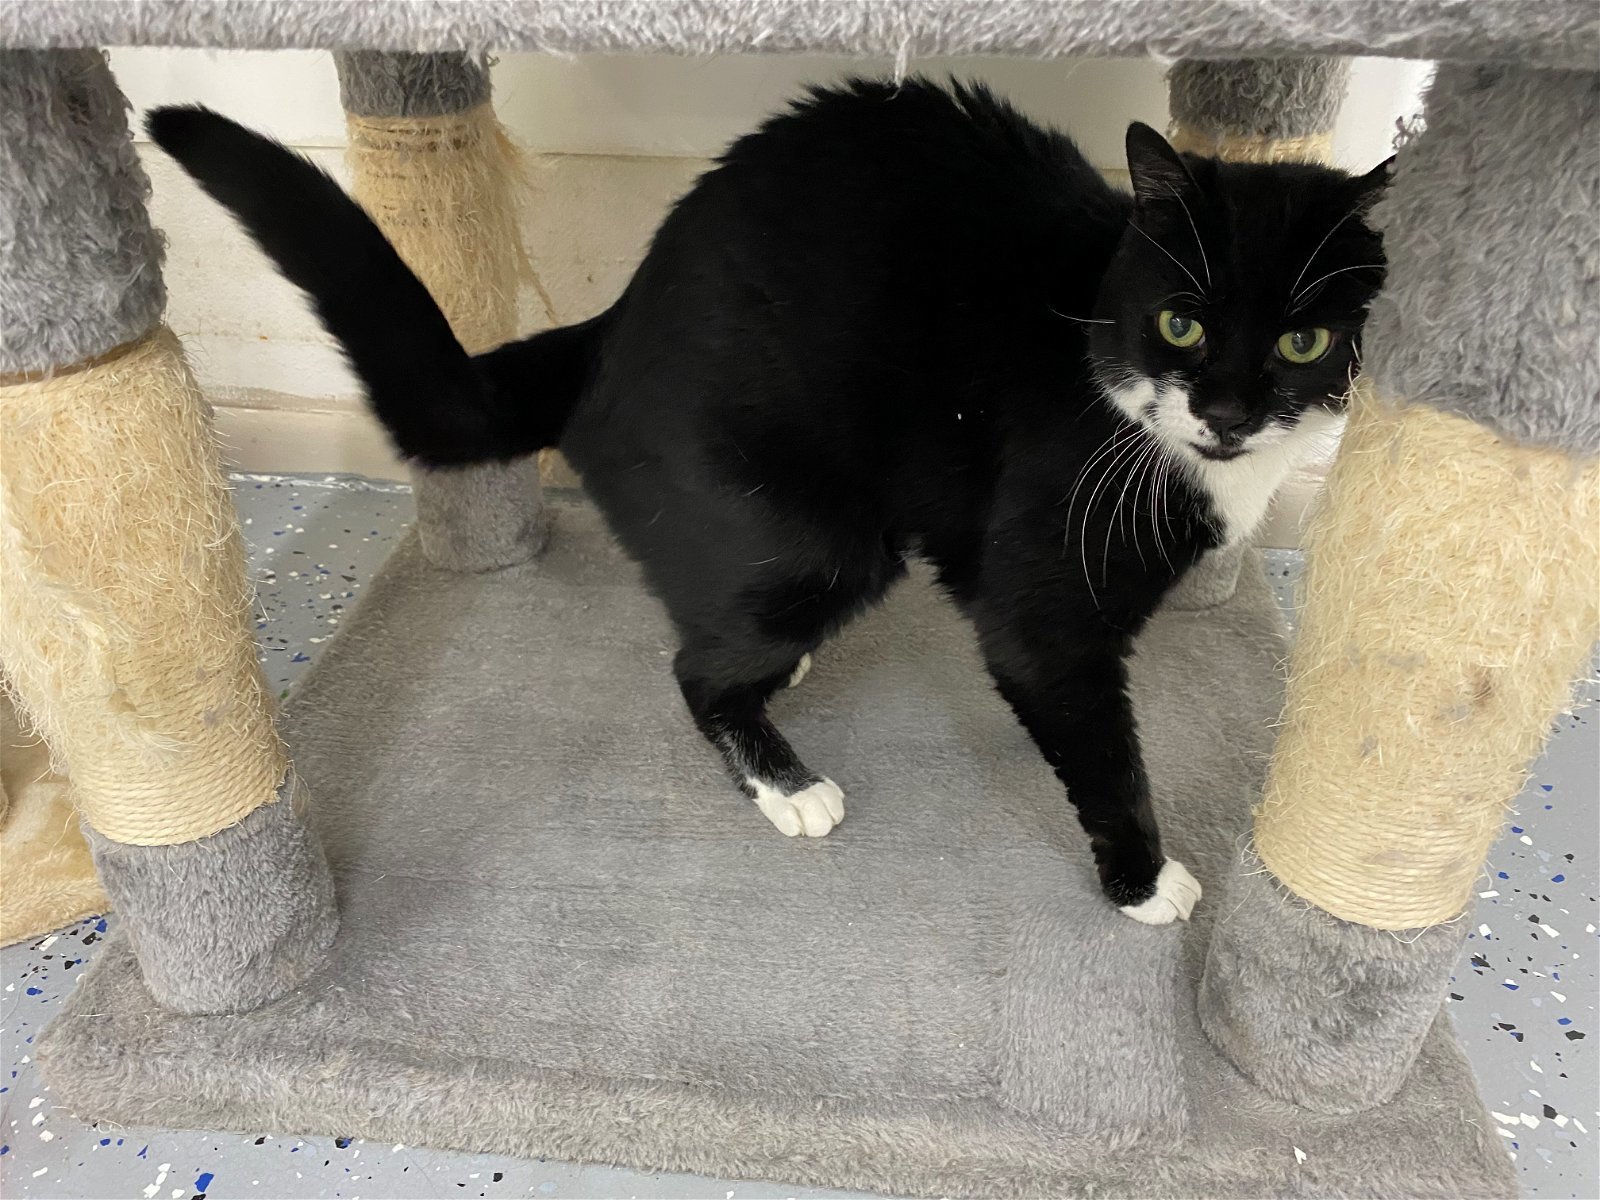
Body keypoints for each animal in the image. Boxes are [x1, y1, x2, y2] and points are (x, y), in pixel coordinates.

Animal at [147, 80, 1388, 928]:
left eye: (1303, 342)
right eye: (1181, 321)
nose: (1226, 411)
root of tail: (612, 326)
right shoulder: (1047, 598)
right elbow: (1096, 740)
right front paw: (1143, 880)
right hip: (816, 538)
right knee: (696, 671)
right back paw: (787, 781)